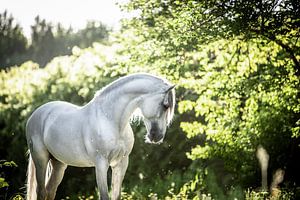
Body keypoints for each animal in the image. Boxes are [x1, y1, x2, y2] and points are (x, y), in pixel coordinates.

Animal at [26, 73, 176, 200]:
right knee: (41, 191)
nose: (156, 136)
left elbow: (116, 196)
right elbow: (104, 196)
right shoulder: (101, 164)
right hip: (40, 159)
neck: (110, 120)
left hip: (59, 164)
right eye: (165, 105)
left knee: (50, 191)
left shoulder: (121, 163)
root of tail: (35, 115)